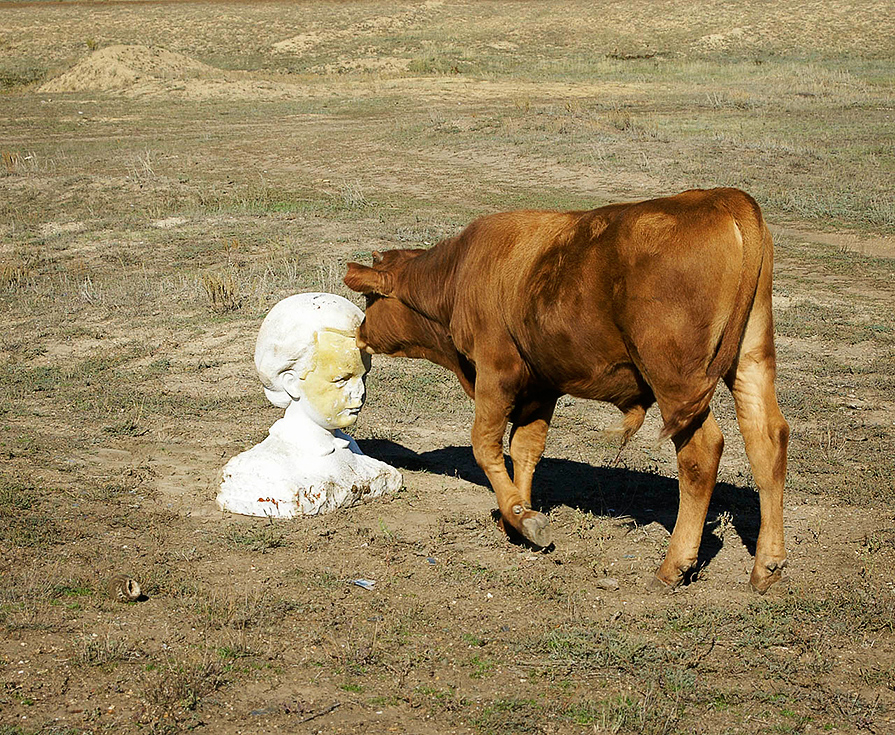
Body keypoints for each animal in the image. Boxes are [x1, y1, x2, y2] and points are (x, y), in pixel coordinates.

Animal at [344, 188, 792, 592]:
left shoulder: (496, 372)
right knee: (767, 440)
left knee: (701, 453)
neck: (460, 273)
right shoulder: (541, 387)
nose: (360, 333)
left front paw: (521, 516)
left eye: (370, 300)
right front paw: (517, 518)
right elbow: (525, 449)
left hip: (676, 380)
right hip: (750, 359)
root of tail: (721, 198)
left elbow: (485, 446)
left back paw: (673, 566)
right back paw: (766, 566)